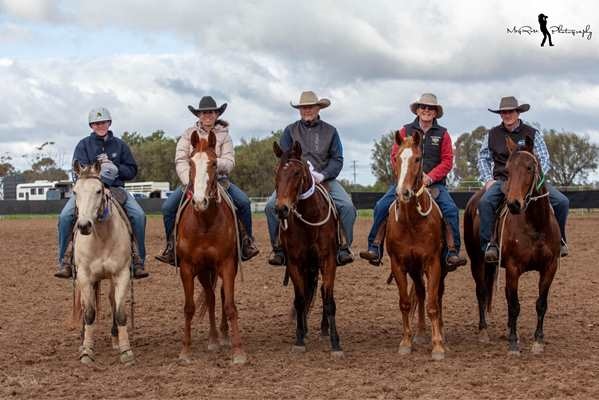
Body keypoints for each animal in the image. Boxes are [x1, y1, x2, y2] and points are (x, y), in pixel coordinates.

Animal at [72, 160, 135, 365]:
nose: (84, 226)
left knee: (112, 300)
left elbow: (120, 312)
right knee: (85, 306)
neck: (101, 238)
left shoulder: (122, 274)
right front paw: (87, 351)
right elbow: (89, 313)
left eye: (98, 191)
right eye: (75, 191)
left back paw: (115, 339)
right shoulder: (84, 276)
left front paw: (125, 350)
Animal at [176, 130, 246, 365]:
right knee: (211, 297)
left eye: (214, 163)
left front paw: (238, 352)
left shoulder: (227, 264)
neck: (205, 223)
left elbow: (231, 306)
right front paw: (185, 352)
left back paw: (223, 337)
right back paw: (214, 339)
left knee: (222, 296)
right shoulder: (187, 268)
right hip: (204, 271)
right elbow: (189, 308)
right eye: (190, 162)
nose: (199, 201)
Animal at [272, 140, 343, 357]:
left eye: (296, 173)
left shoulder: (328, 261)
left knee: (322, 292)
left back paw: (324, 330)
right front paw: (299, 339)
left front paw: (336, 343)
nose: (281, 209)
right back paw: (305, 330)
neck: (309, 219)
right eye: (276, 171)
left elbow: (328, 300)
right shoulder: (295, 263)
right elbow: (300, 299)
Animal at [386, 129, 448, 360]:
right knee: (420, 292)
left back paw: (439, 333)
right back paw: (420, 333)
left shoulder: (433, 263)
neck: (412, 222)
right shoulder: (399, 264)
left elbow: (432, 304)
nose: (403, 193)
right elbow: (405, 302)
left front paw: (437, 346)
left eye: (417, 158)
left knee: (436, 295)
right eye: (396, 158)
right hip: (414, 267)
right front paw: (406, 342)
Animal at [465, 136, 560, 355]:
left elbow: (541, 304)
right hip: (477, 262)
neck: (535, 225)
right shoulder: (513, 268)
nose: (514, 204)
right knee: (481, 292)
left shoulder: (550, 267)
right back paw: (484, 331)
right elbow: (515, 305)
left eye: (529, 167)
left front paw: (538, 340)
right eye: (507, 170)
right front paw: (514, 342)